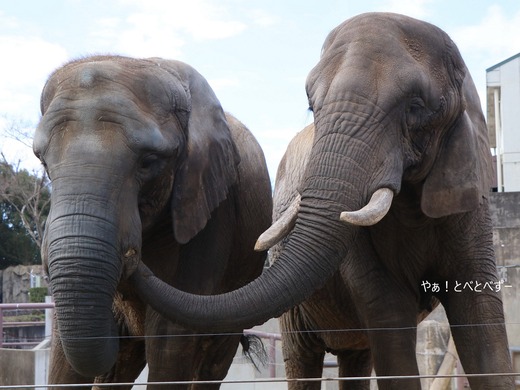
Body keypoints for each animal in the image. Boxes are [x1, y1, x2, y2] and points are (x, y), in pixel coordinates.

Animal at [33, 55, 272, 390]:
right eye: (42, 161)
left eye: (148, 162)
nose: (131, 257)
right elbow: (63, 361)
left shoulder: (209, 211)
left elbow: (169, 339)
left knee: (211, 360)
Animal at [131, 12, 516, 390]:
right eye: (311, 106)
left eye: (416, 107)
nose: (132, 254)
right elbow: (389, 309)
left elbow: (479, 312)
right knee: (303, 359)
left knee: (357, 357)